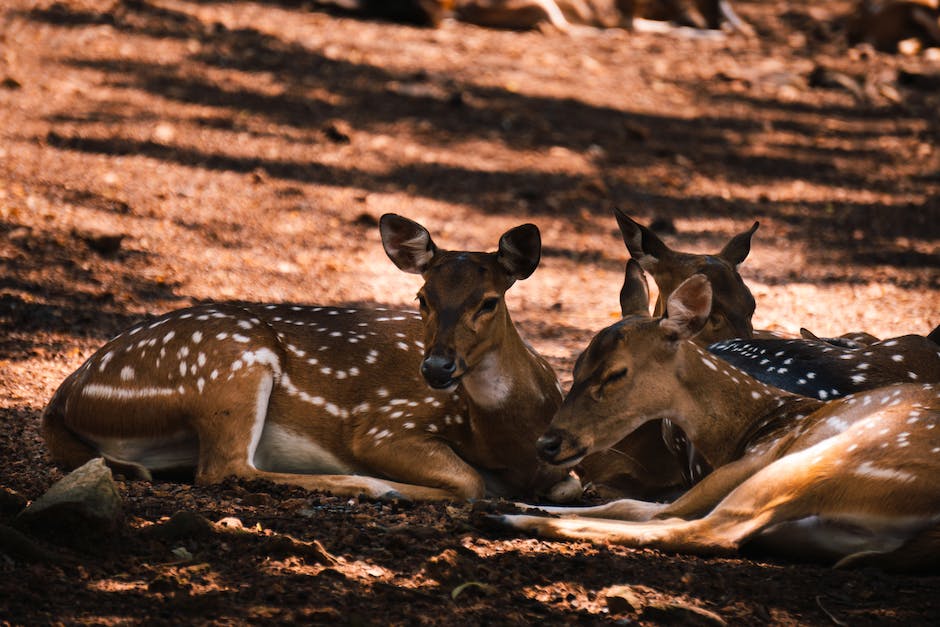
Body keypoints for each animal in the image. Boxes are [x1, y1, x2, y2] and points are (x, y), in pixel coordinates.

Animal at [42, 216, 580, 506]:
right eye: (422, 297)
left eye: (488, 302)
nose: (436, 368)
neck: (511, 442)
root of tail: (64, 397)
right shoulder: (385, 424)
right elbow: (470, 481)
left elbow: (567, 486)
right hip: (229, 361)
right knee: (226, 467)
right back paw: (370, 486)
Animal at [492, 268, 940, 572]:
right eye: (576, 364)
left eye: (616, 372)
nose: (548, 443)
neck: (751, 424)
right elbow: (627, 502)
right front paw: (507, 499)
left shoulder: (749, 461)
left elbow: (643, 508)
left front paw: (511, 507)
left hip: (818, 462)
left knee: (702, 528)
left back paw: (512, 519)